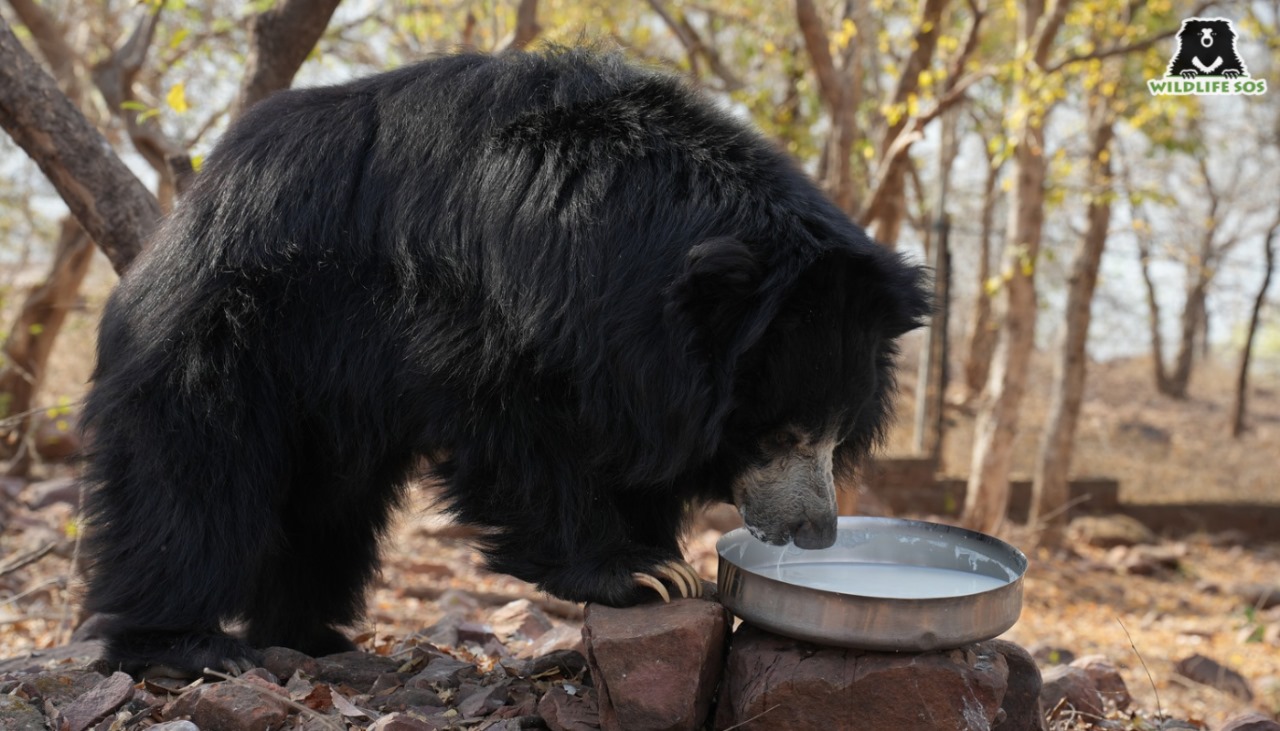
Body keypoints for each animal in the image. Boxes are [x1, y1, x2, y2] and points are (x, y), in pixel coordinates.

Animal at [85, 48, 931, 675]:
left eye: (836, 436)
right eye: (782, 433)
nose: (816, 530)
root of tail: (187, 211)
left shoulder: (636, 366)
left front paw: (666, 556)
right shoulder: (500, 306)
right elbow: (519, 436)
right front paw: (634, 570)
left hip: (324, 398)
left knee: (328, 506)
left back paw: (310, 635)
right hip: (229, 335)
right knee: (193, 478)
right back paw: (187, 645)